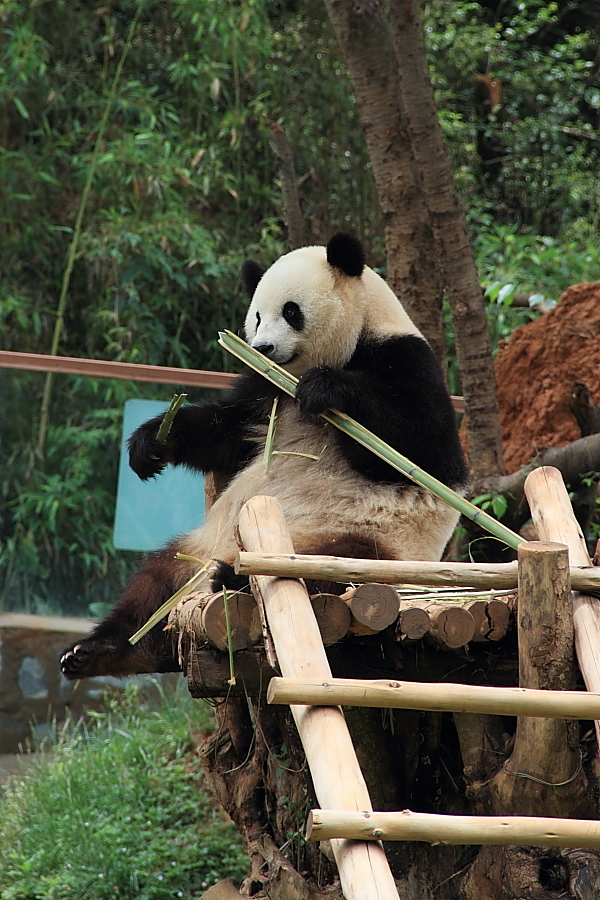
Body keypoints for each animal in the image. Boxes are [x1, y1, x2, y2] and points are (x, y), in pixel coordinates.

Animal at [59, 236, 468, 680]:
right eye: (256, 317)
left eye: (291, 311)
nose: (263, 348)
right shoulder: (265, 388)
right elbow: (226, 431)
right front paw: (150, 443)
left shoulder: (406, 360)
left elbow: (422, 452)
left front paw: (327, 389)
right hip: (195, 549)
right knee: (151, 584)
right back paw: (100, 650)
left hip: (373, 548)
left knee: (330, 569)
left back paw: (234, 579)